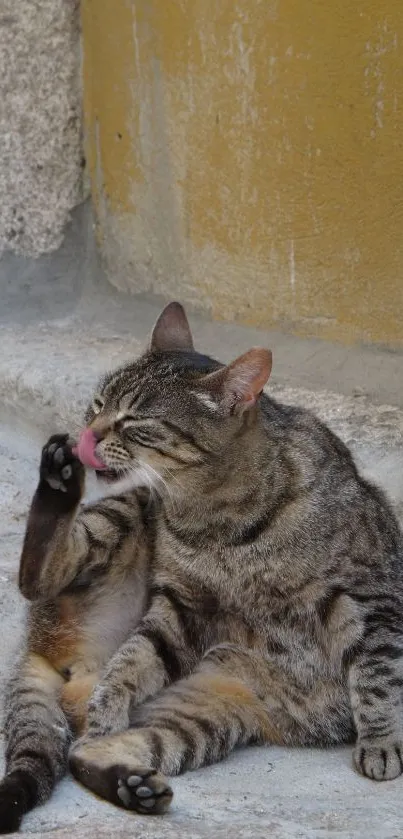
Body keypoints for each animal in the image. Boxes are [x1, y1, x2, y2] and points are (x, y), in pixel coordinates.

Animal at [0, 302, 403, 832]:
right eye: (97, 403)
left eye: (134, 419)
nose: (88, 434)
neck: (217, 520)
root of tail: (40, 651)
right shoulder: (181, 605)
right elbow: (131, 660)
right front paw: (108, 704)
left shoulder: (370, 593)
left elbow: (377, 675)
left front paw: (380, 740)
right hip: (126, 511)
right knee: (36, 584)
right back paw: (58, 479)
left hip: (205, 711)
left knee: (85, 754)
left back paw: (133, 784)